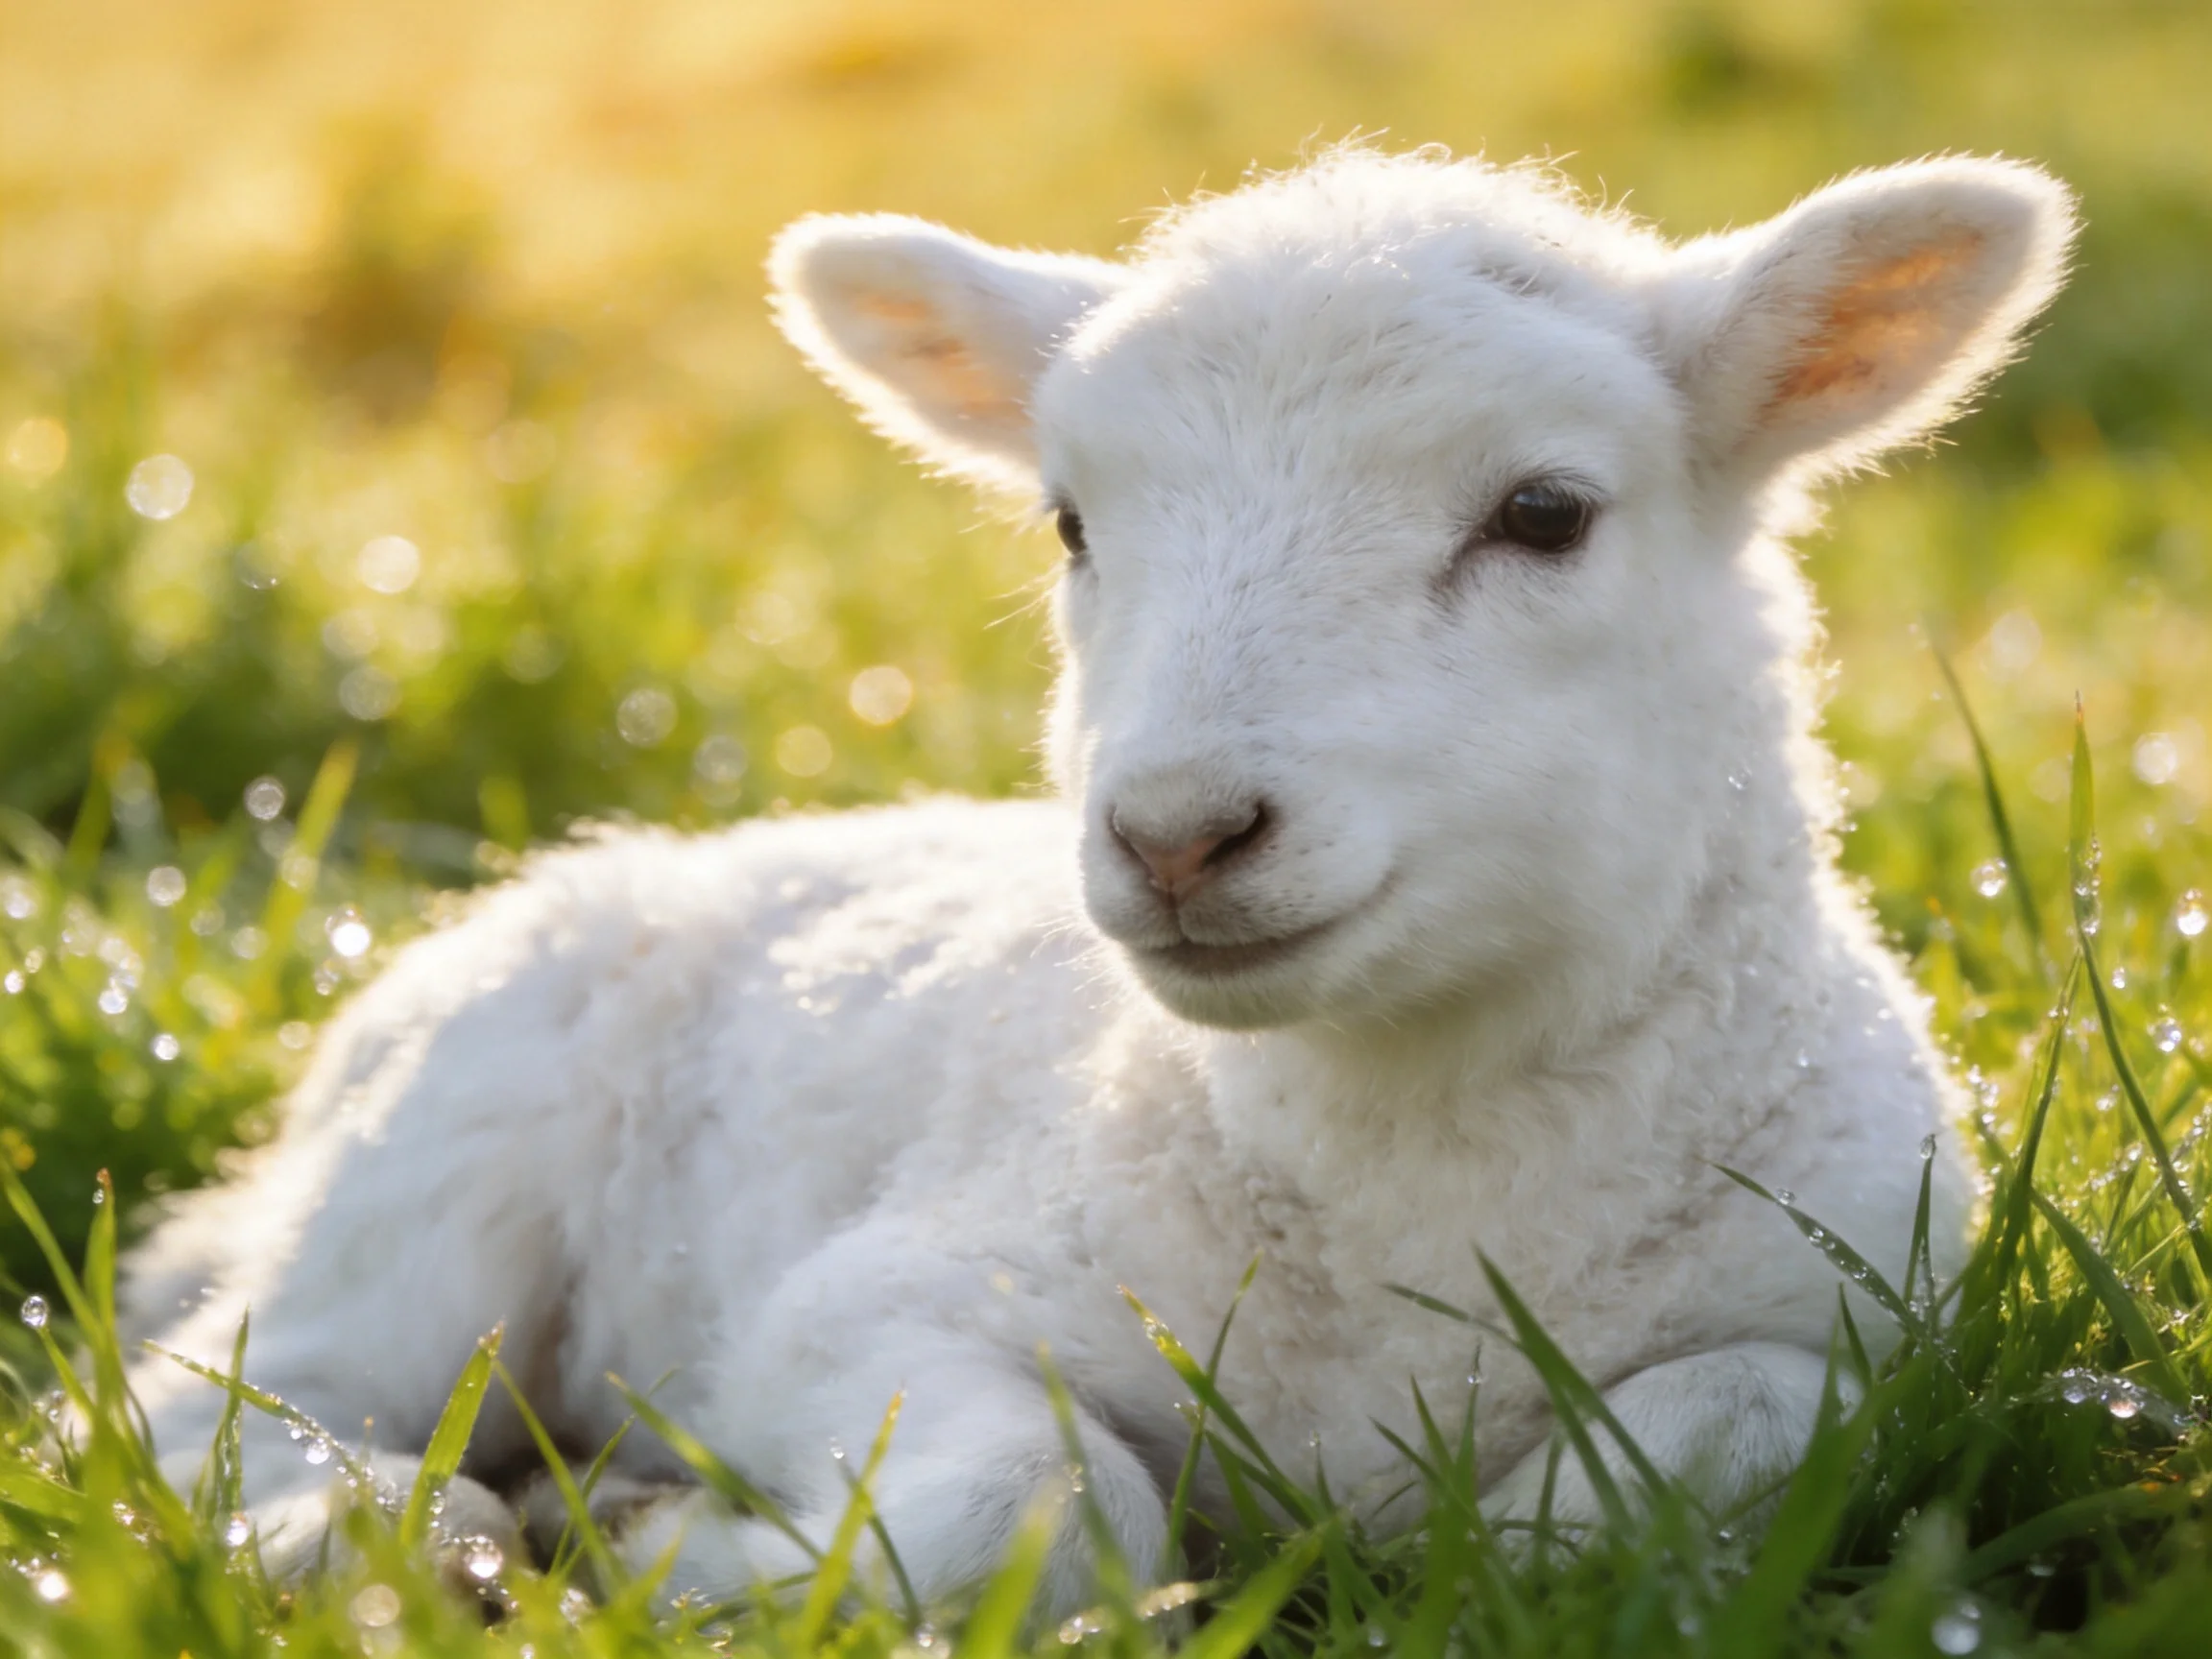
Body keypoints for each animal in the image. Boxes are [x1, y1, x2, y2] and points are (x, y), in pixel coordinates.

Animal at [119, 144, 2076, 1617]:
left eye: (1543, 514)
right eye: (1070, 521)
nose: (1178, 833)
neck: (1413, 1179)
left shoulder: (1864, 1329)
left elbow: (1660, 1480)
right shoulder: (876, 1297)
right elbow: (1046, 1512)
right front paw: (679, 1547)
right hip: (434, 1174)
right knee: (215, 1396)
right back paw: (383, 1528)